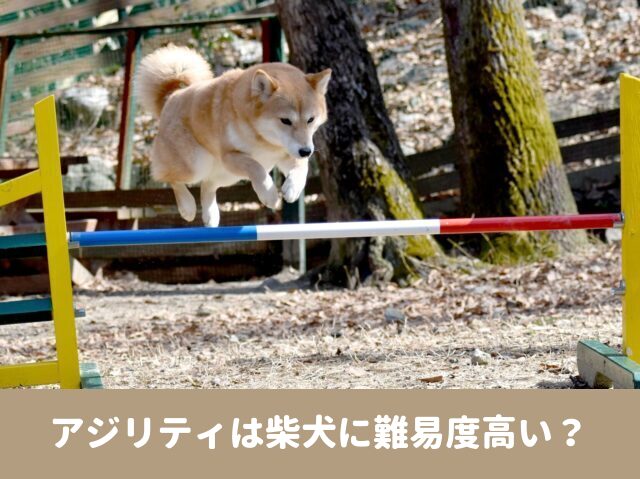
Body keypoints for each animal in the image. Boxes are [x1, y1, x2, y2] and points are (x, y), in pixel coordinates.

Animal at [137, 45, 332, 227]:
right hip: (195, 164)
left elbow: (301, 168)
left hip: (227, 176)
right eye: (285, 120)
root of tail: (171, 96)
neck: (264, 140)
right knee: (171, 178)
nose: (306, 151)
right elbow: (256, 168)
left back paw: (210, 215)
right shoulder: (230, 155)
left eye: (311, 119)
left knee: (207, 185)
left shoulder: (285, 153)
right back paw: (187, 207)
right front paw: (269, 195)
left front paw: (292, 188)